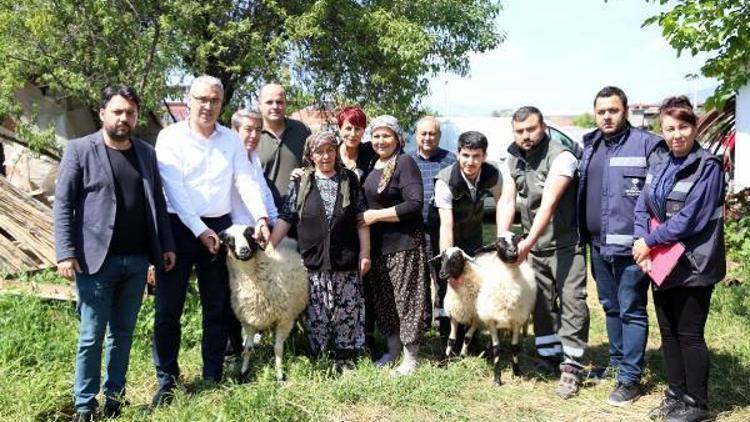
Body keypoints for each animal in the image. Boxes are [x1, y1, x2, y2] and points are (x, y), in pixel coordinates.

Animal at [219, 224, 310, 382]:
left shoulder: (284, 319)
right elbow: (248, 348)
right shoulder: (248, 321)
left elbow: (278, 348)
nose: (244, 250)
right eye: (230, 240)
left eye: (250, 235)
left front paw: (280, 376)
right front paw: (244, 372)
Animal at [478, 234, 536, 386]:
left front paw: (516, 372)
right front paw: (497, 378)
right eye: (498, 243)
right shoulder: (491, 321)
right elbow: (496, 349)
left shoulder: (517, 321)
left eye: (516, 239)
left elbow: (514, 347)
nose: (512, 252)